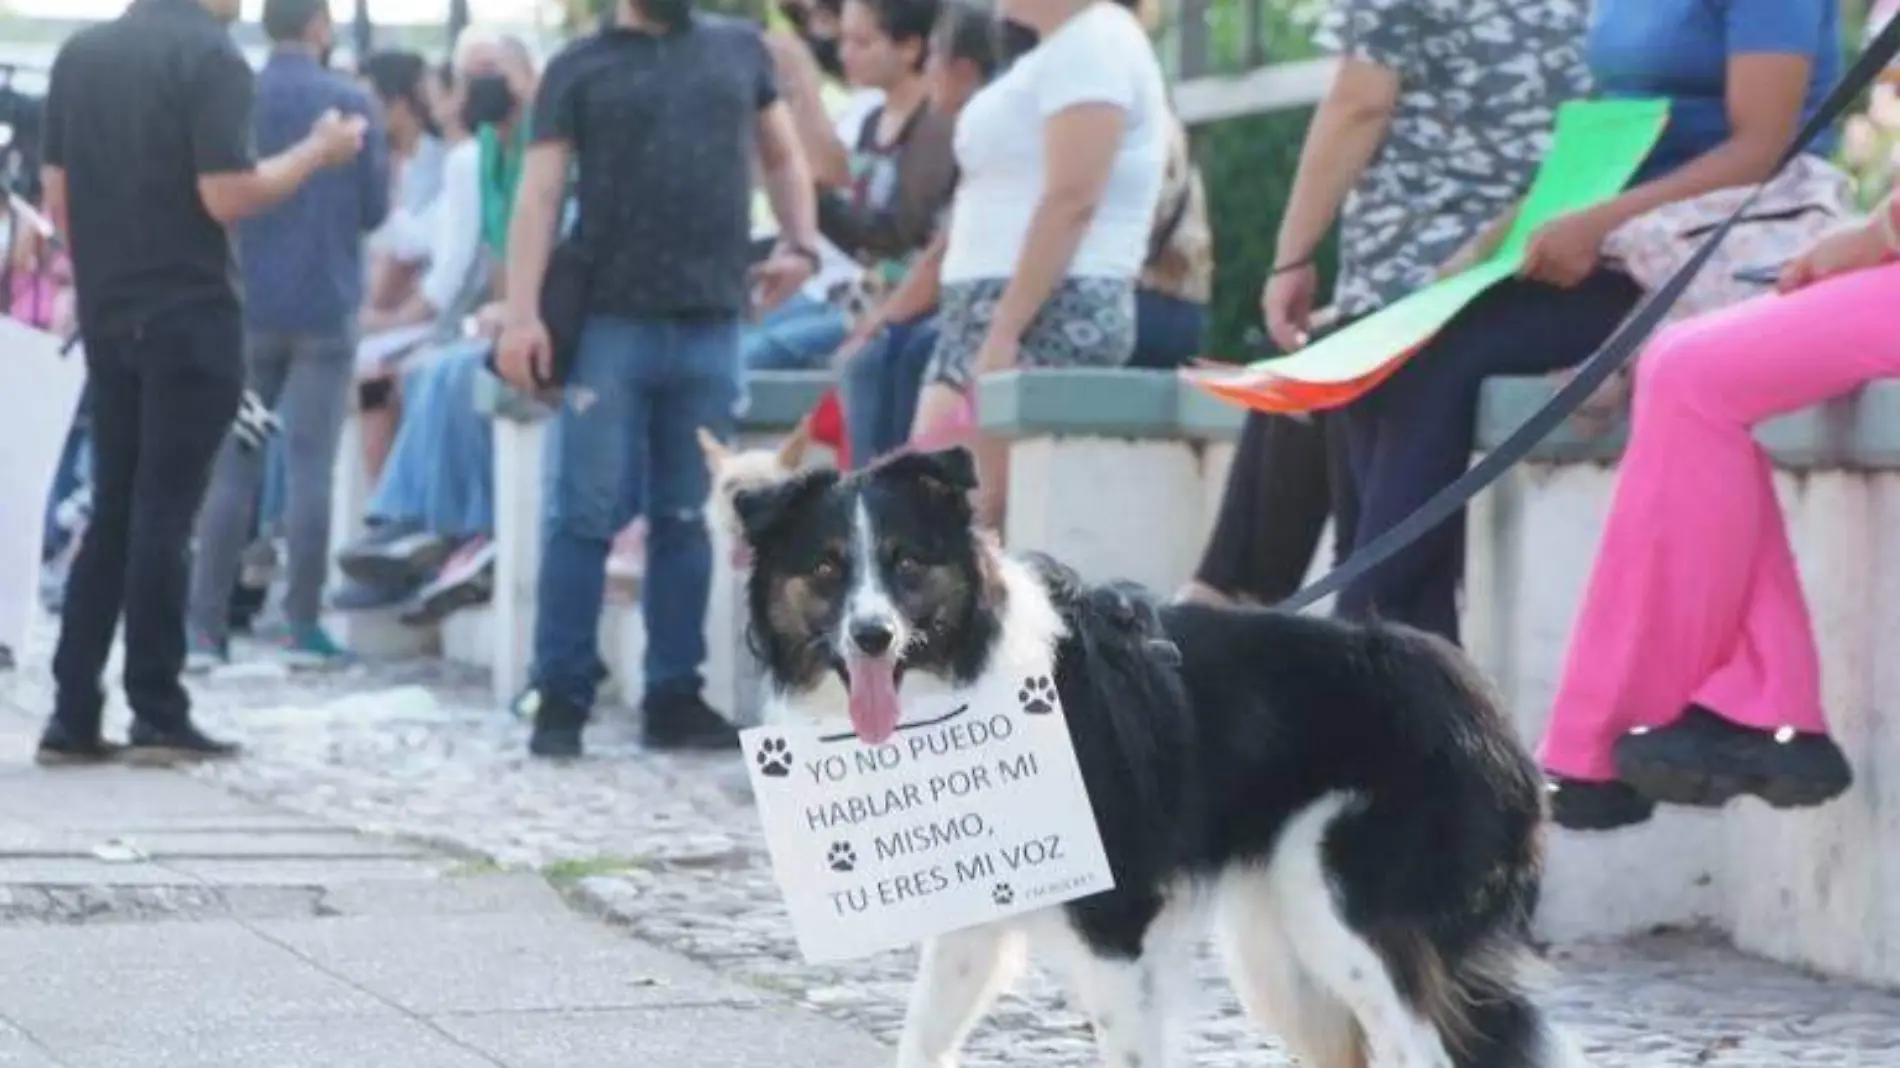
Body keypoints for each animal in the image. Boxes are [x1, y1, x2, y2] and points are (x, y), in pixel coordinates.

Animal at [733, 446, 1580, 1064]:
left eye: (907, 562)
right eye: (826, 567)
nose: (872, 637)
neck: (955, 684)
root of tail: (1485, 707)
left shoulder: (1117, 925)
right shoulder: (971, 916)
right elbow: (920, 1038)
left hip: (1342, 903)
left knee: (1418, 1050)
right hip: (1278, 948)